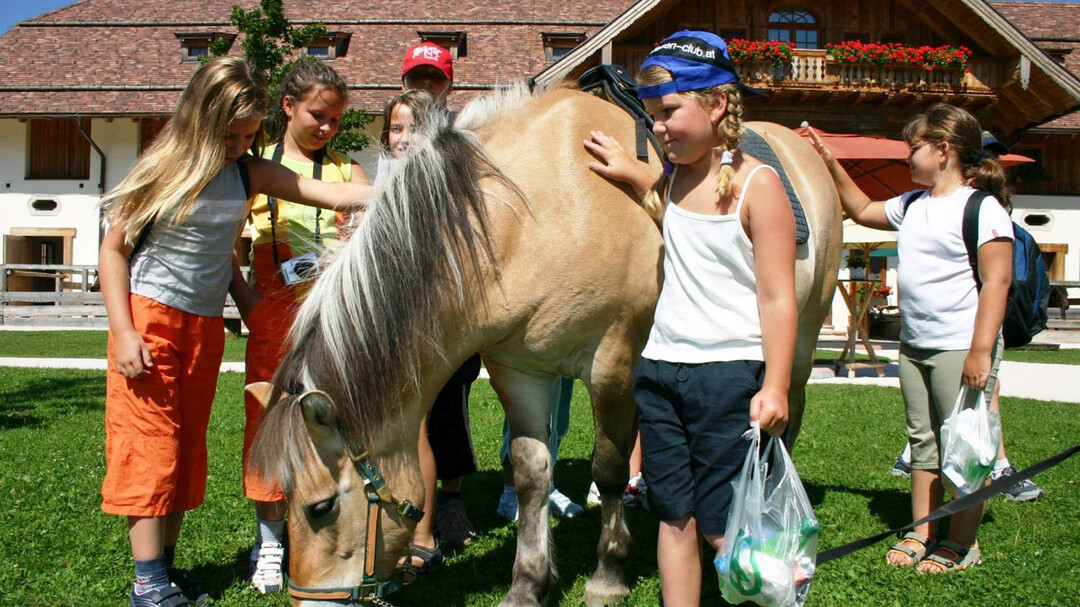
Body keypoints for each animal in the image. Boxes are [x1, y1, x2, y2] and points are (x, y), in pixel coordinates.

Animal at [246, 84, 841, 607]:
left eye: (320, 508)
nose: (307, 603)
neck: (529, 217)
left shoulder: (613, 362)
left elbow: (608, 465)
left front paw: (608, 575)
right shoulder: (518, 369)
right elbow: (532, 473)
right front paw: (528, 584)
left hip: (798, 342)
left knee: (784, 418)